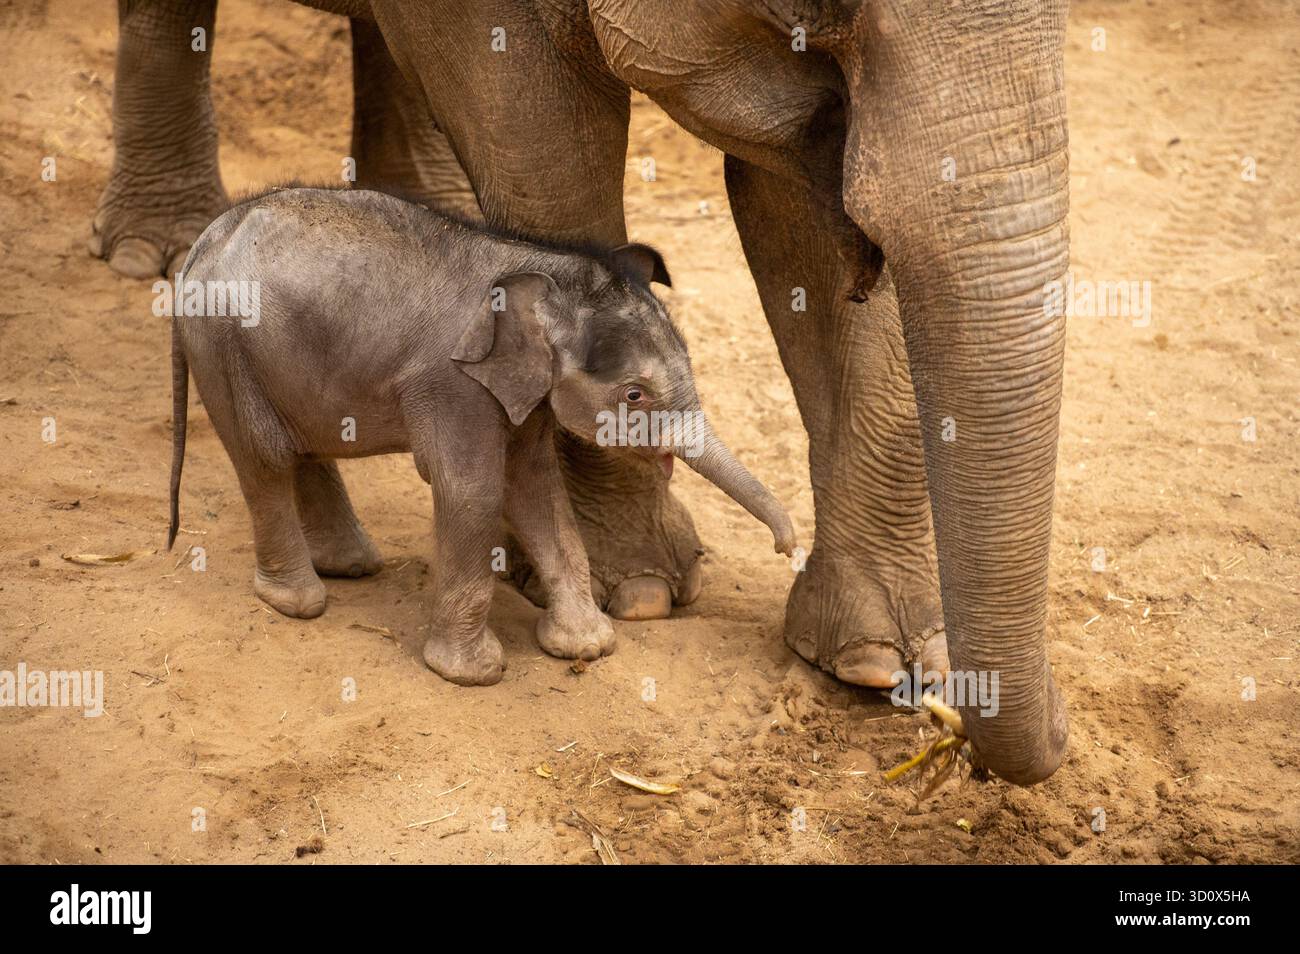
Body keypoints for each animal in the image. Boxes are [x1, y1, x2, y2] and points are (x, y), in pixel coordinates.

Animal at [166, 186, 797, 686]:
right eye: (635, 395)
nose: (787, 547)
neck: (541, 267)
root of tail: (202, 243)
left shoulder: (521, 390)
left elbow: (537, 490)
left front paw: (587, 646)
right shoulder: (453, 383)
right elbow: (474, 491)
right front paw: (473, 674)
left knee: (303, 447)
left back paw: (351, 567)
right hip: (224, 347)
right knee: (266, 457)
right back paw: (298, 603)